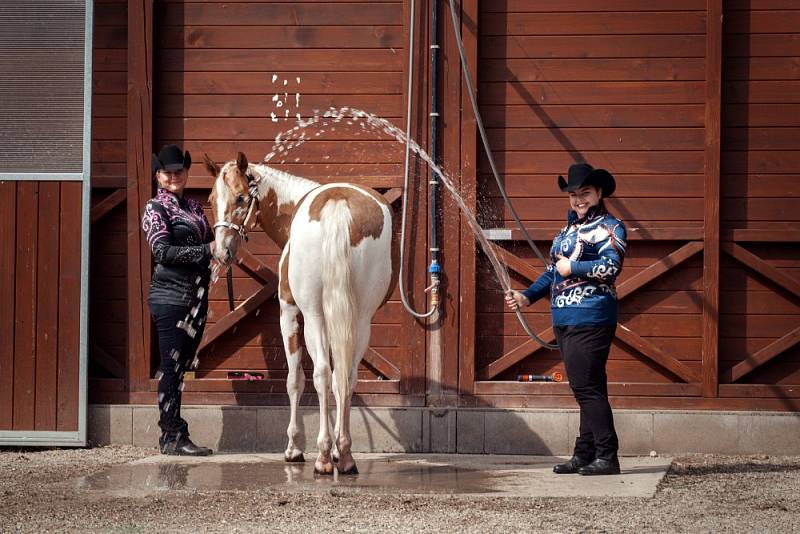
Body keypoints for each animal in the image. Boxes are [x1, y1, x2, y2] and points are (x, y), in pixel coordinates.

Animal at [205, 153, 396, 476]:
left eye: (241, 197)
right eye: (210, 199)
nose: (221, 252)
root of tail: (337, 202)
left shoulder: (289, 311)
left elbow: (295, 380)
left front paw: (294, 447)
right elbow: (337, 380)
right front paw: (336, 448)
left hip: (314, 316)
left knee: (320, 374)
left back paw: (322, 456)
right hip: (359, 320)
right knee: (345, 376)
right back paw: (344, 455)